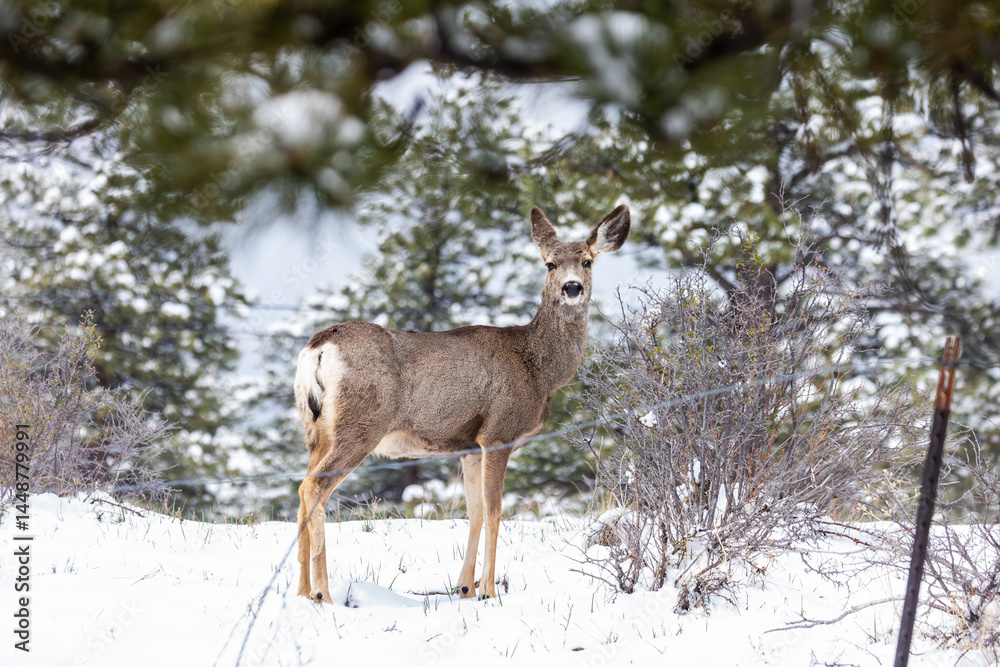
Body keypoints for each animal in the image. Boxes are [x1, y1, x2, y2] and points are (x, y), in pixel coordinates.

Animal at [294, 204, 630, 603]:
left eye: (587, 261)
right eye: (549, 263)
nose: (572, 287)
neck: (540, 369)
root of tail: (318, 347)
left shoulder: (469, 445)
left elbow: (476, 512)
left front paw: (466, 588)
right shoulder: (498, 432)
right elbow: (496, 510)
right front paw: (489, 591)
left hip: (316, 429)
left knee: (302, 489)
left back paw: (301, 591)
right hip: (360, 425)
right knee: (313, 489)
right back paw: (322, 595)